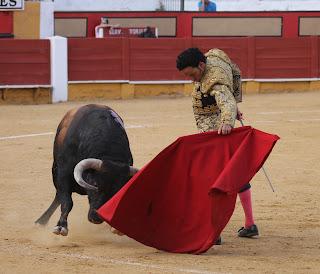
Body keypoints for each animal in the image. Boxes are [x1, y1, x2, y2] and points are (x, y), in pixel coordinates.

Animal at [35, 105, 138, 235]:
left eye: (118, 191)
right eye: (94, 184)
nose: (96, 219)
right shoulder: (63, 173)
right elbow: (67, 201)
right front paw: (61, 226)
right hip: (55, 169)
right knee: (59, 195)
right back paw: (41, 222)